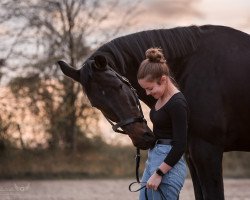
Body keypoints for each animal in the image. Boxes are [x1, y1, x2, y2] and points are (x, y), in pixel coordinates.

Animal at [57, 25, 250, 200]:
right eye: (96, 104)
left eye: (119, 86)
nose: (143, 138)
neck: (192, 68)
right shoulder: (191, 153)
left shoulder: (207, 151)